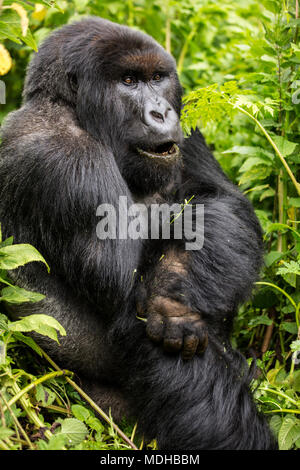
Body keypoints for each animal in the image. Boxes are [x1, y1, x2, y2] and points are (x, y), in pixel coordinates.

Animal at [0, 16, 276, 450]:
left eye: (158, 78)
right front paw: (170, 304)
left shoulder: (186, 127)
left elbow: (219, 200)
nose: (161, 113)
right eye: (128, 81)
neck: (70, 109)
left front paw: (174, 292)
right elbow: (124, 291)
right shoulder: (65, 158)